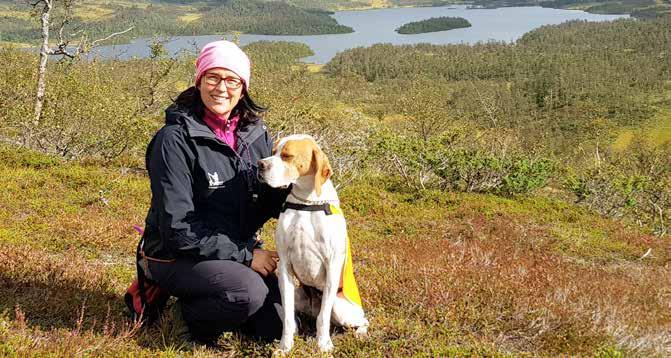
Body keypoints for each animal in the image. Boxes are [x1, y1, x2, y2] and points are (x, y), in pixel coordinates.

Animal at [258, 135, 372, 356]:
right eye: (273, 151)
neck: (307, 203)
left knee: (361, 319)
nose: (260, 164)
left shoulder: (332, 266)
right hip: (298, 295)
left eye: (287, 155)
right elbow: (287, 318)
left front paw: (324, 344)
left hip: (341, 307)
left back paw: (360, 333)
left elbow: (323, 317)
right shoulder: (284, 266)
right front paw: (284, 347)